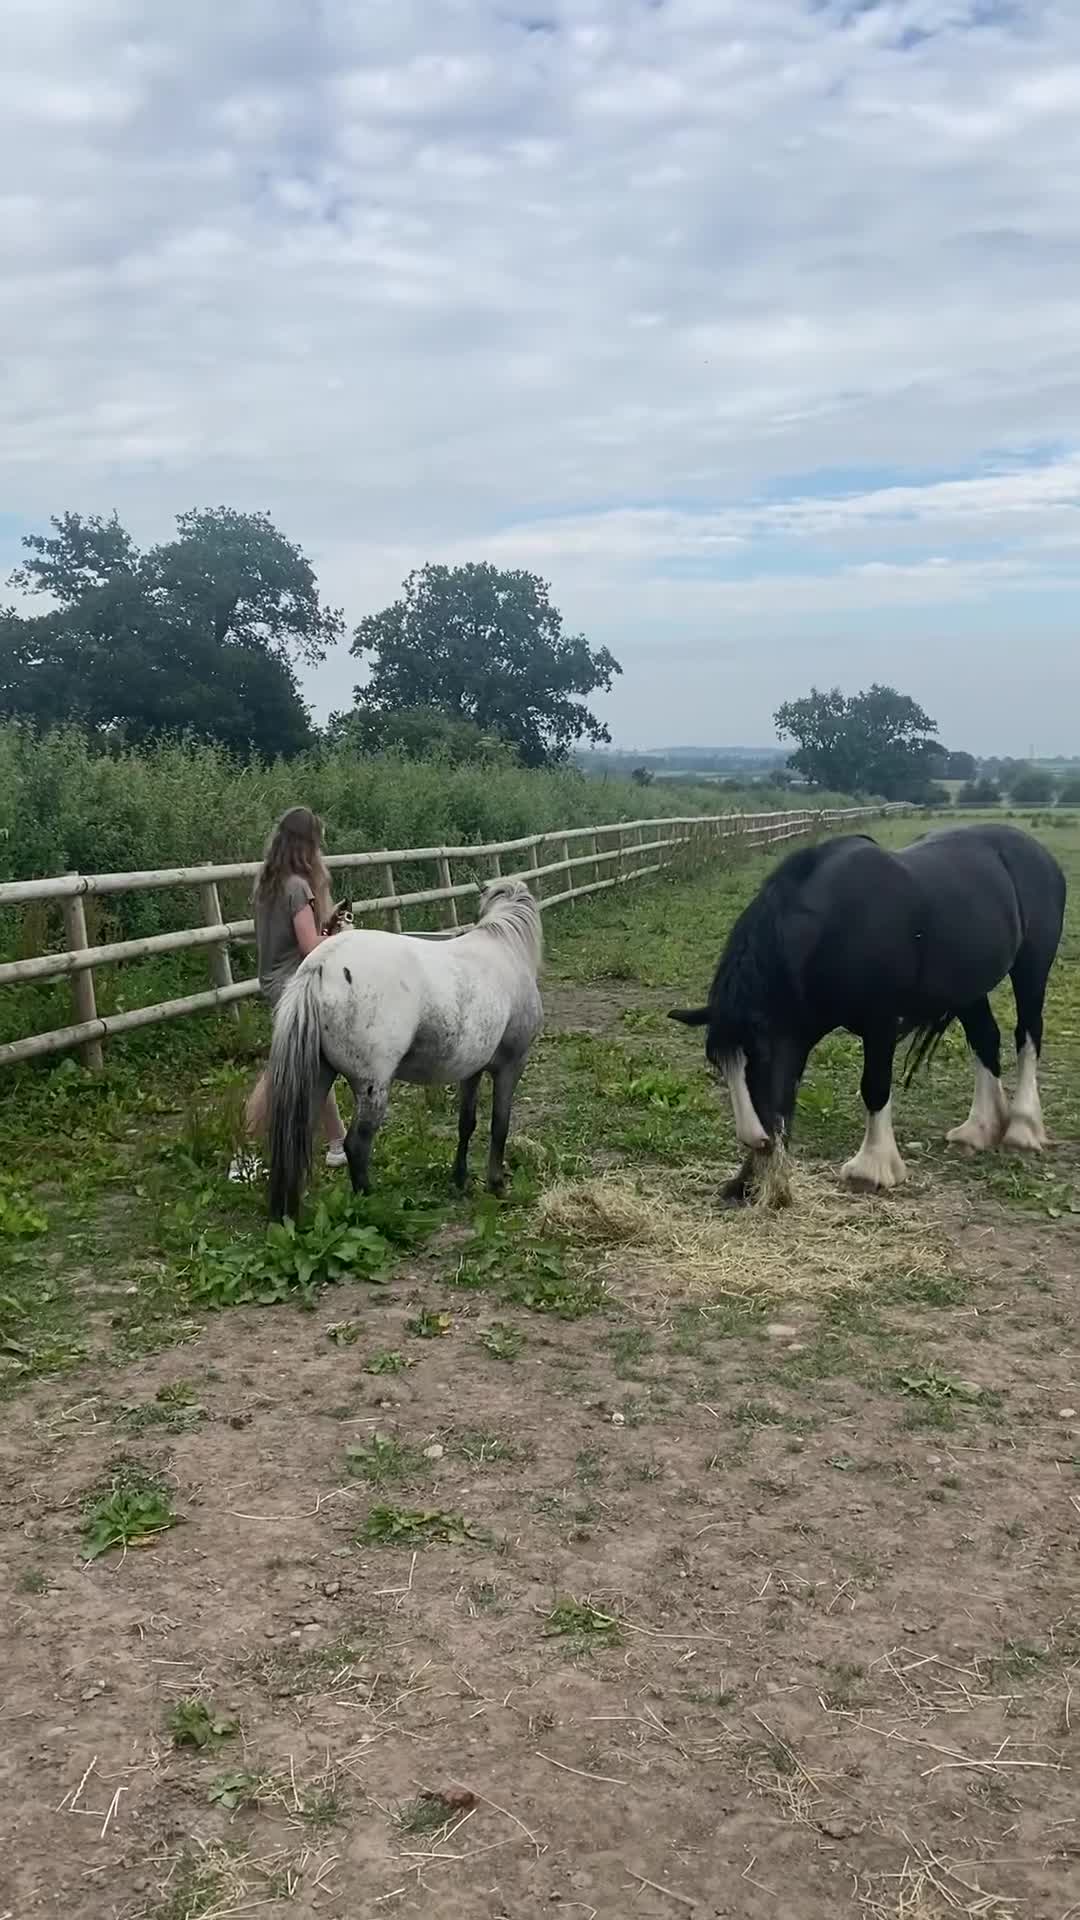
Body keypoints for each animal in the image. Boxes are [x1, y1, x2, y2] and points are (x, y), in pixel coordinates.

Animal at [267, 878, 543, 1221]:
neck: (505, 949)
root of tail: (320, 966)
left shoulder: (472, 1070)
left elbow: (467, 1123)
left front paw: (460, 1179)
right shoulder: (511, 1065)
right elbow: (499, 1124)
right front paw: (496, 1185)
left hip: (318, 1077)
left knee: (296, 1137)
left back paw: (290, 1213)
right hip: (373, 1087)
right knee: (356, 1145)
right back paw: (372, 1207)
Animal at [670, 823, 1066, 1203]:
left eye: (760, 1056)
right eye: (720, 1063)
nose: (755, 1140)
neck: (842, 923)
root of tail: (1039, 853)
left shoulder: (881, 1024)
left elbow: (873, 1087)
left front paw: (872, 1168)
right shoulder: (795, 1036)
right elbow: (784, 1102)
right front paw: (748, 1183)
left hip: (1031, 969)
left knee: (1028, 1033)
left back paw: (1022, 1128)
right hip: (969, 986)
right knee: (986, 1038)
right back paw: (977, 1131)